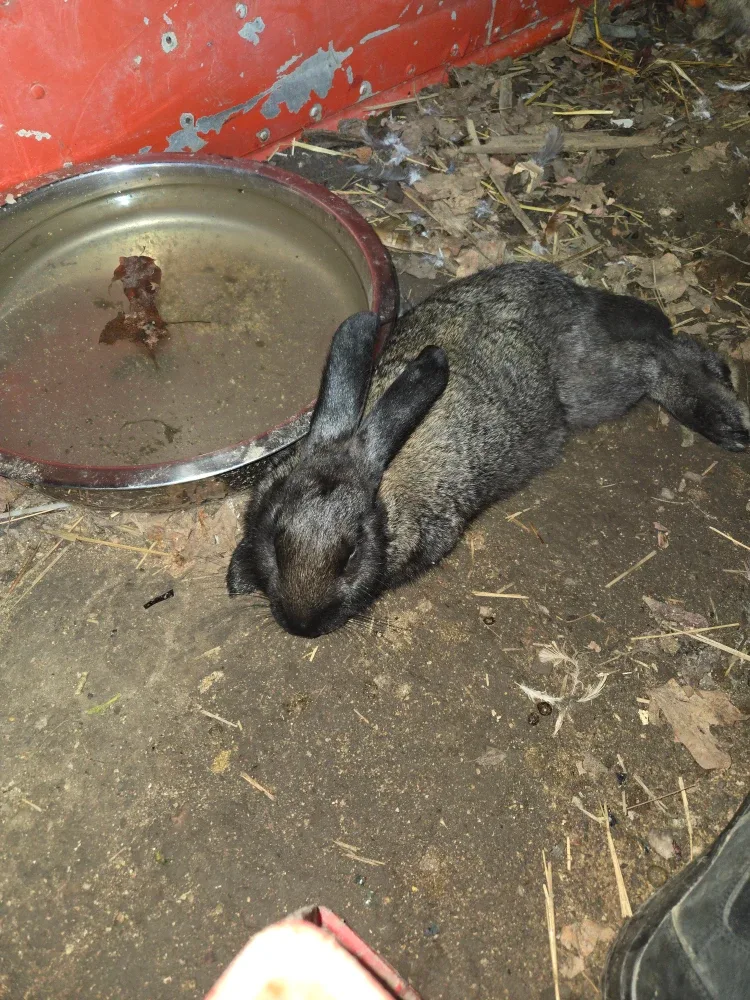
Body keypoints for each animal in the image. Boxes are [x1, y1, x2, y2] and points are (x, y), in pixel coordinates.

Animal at [227, 262, 749, 637]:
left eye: (351, 556)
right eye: (275, 543)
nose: (303, 626)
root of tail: (567, 291)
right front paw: (238, 576)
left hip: (594, 388)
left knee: (659, 356)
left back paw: (726, 419)